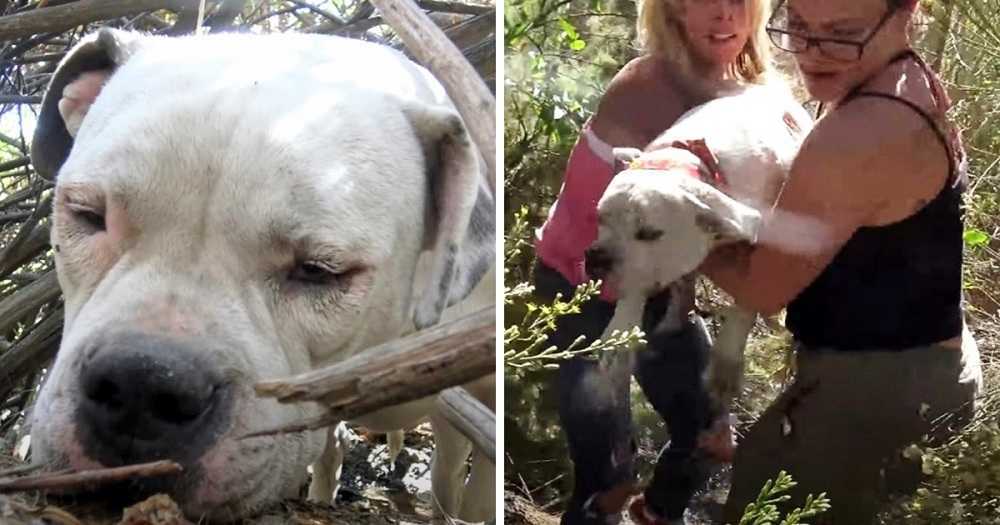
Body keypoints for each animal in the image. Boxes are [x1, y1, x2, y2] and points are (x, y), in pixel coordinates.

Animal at [584, 84, 812, 416]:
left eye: (649, 233)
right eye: (600, 218)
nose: (596, 257)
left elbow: (744, 305)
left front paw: (724, 372)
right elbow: (635, 292)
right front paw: (620, 333)